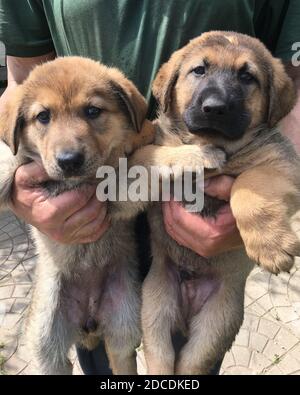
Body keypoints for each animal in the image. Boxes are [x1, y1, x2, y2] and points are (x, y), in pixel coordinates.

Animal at [0, 55, 155, 374]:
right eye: (43, 117)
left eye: (93, 111)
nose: (69, 161)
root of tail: (89, 320)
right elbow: (9, 158)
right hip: (46, 339)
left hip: (124, 321)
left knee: (121, 356)